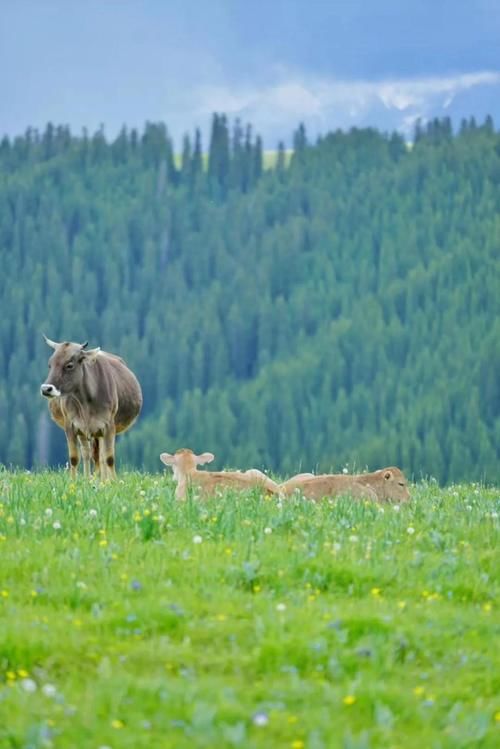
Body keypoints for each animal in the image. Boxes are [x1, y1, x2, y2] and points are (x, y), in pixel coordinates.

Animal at [40, 334, 143, 480]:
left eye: (69, 365)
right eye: (50, 364)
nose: (46, 389)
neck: (85, 404)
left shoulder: (109, 425)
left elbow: (109, 458)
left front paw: (113, 482)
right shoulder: (70, 425)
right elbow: (74, 458)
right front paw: (73, 481)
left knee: (101, 456)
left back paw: (103, 480)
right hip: (85, 431)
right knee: (87, 453)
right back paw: (88, 479)